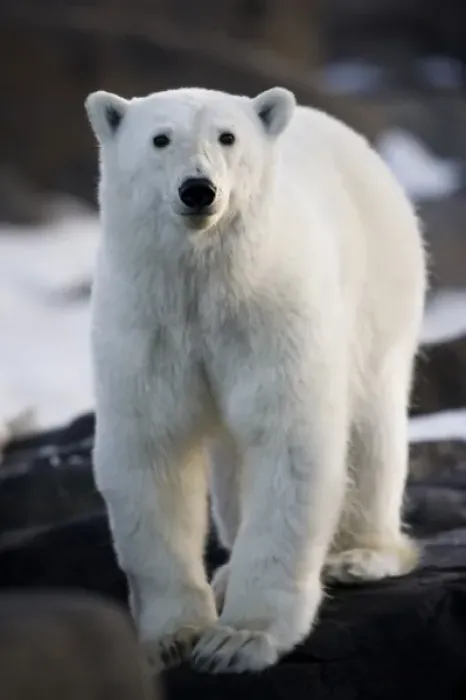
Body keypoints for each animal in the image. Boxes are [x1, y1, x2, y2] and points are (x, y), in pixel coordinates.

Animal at [85, 85, 427, 674]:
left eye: (227, 136)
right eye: (160, 138)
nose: (198, 190)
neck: (206, 286)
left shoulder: (274, 314)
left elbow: (287, 443)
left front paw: (240, 639)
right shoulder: (145, 325)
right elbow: (151, 451)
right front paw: (173, 637)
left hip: (380, 290)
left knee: (370, 428)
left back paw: (360, 555)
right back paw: (225, 573)